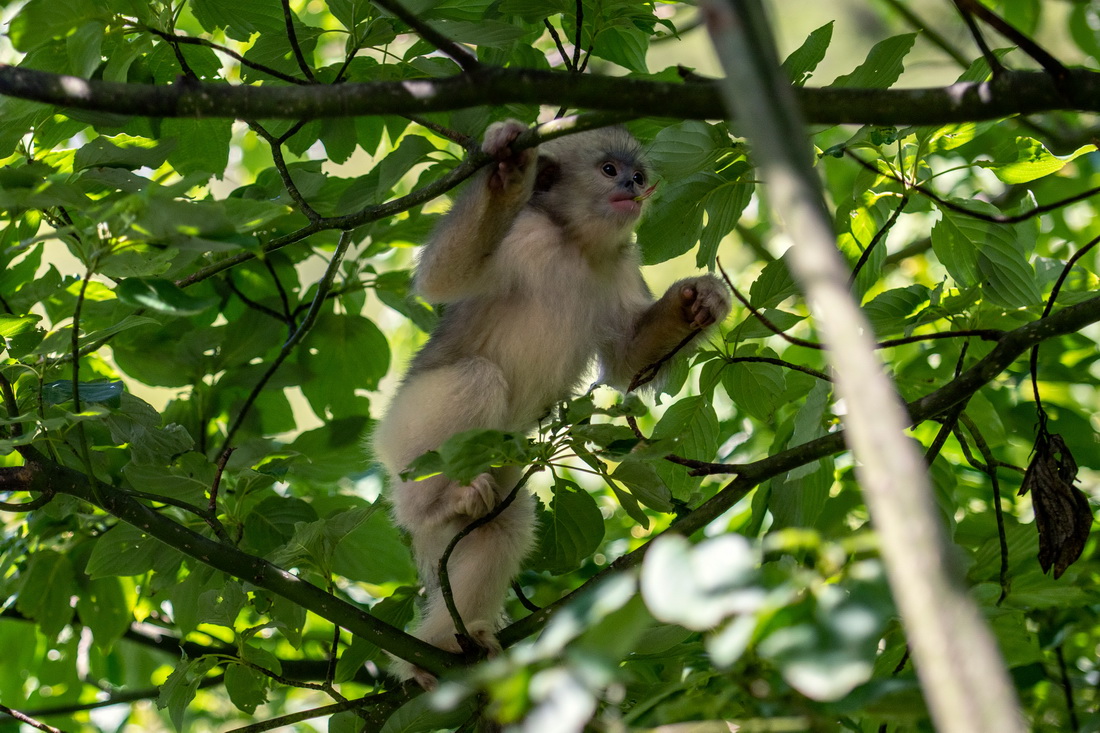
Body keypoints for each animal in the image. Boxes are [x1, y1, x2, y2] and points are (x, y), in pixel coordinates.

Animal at [372, 120, 730, 688]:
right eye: (609, 169)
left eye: (638, 174)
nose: (631, 186)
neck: (575, 245)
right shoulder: (524, 234)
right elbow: (442, 277)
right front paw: (507, 169)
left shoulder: (622, 265)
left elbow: (628, 361)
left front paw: (699, 300)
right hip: (406, 428)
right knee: (475, 378)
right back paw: (430, 504)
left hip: (495, 471)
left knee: (501, 526)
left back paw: (447, 647)